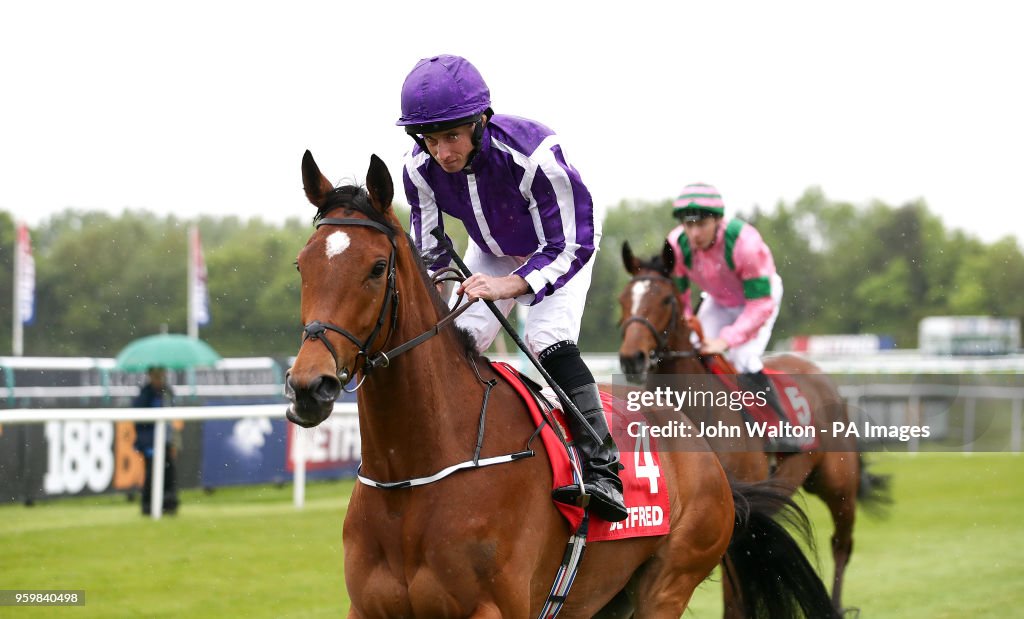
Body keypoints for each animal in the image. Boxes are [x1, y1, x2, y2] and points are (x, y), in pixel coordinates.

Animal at [282, 150, 839, 619]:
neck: (414, 472)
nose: (310, 386)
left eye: (377, 268)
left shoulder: (495, 610)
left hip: (671, 581)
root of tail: (706, 455)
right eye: (302, 265)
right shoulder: (369, 609)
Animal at [614, 240, 888, 614]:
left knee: (841, 544)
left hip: (838, 484)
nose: (632, 358)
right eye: (623, 300)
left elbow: (736, 598)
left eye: (666, 299)